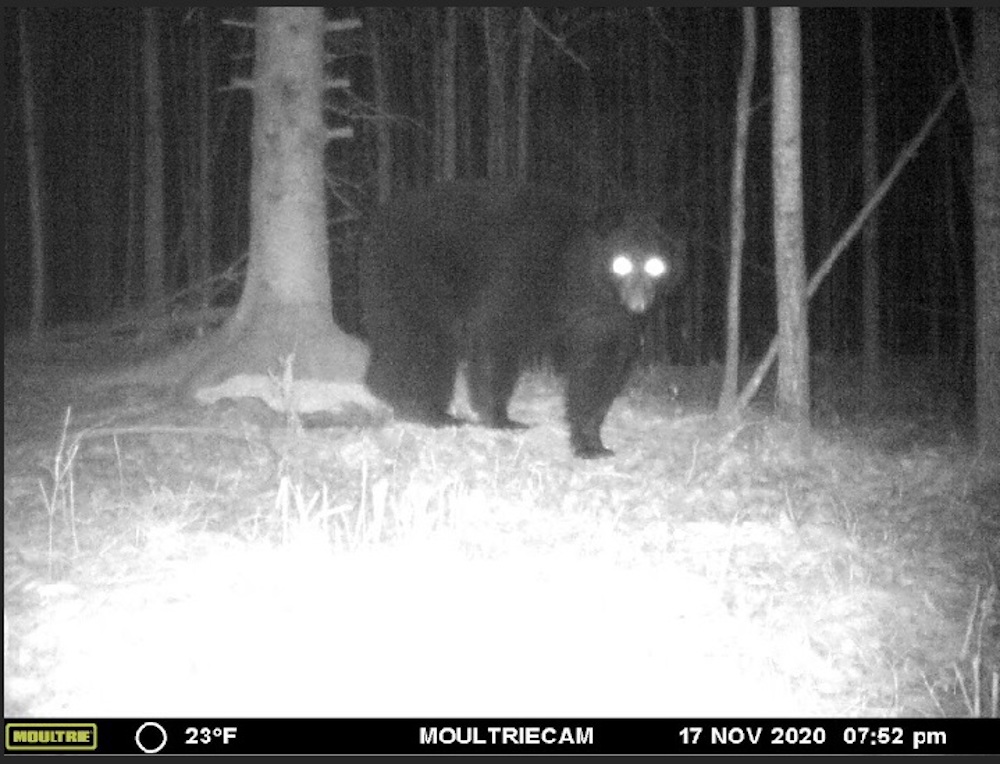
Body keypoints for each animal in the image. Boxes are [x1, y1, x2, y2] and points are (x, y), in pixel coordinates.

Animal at [359, 181, 685, 458]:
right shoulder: (524, 273)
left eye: (656, 265)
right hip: (420, 276)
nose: (638, 304)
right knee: (421, 342)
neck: (581, 278)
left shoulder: (608, 317)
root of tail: (376, 224)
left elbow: (600, 367)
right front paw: (500, 419)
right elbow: (498, 333)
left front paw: (591, 443)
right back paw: (424, 410)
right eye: (621, 263)